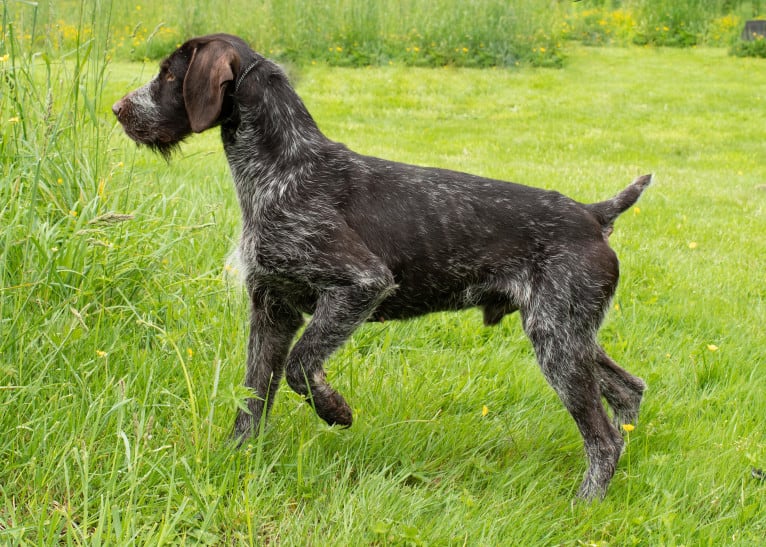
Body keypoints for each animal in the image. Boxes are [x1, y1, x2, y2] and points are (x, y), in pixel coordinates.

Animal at [112, 32, 656, 498]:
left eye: (167, 75)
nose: (117, 109)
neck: (282, 168)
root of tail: (593, 215)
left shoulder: (360, 284)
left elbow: (300, 365)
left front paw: (335, 411)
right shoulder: (271, 309)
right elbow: (253, 394)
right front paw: (236, 457)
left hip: (557, 340)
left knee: (602, 437)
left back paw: (587, 500)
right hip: (567, 334)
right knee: (628, 391)